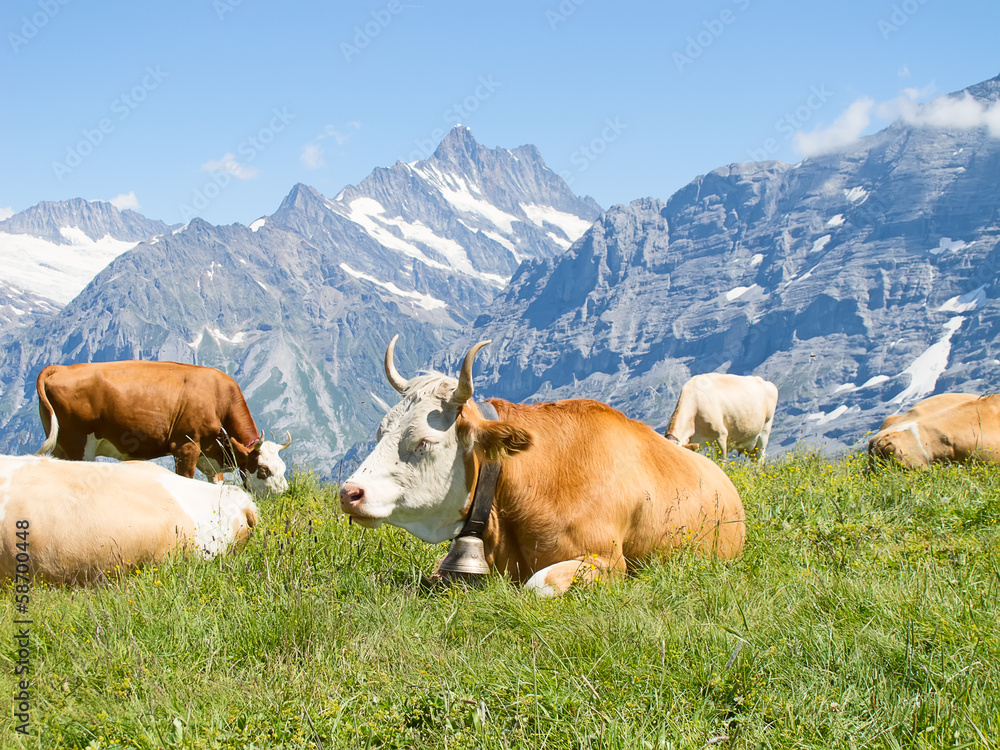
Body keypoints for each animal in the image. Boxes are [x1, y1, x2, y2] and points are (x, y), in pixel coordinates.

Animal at [35, 361, 290, 495]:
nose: (285, 493)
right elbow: (186, 480)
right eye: (264, 470)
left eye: (284, 468)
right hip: (79, 445)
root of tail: (61, 367)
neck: (219, 400)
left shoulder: (208, 453)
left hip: (60, 444)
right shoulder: (185, 446)